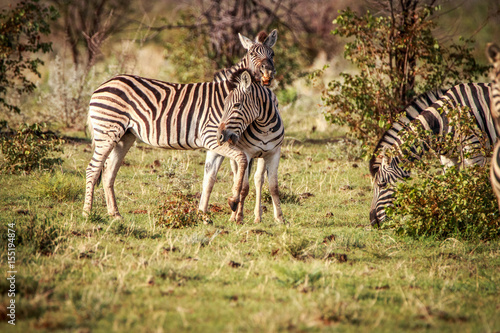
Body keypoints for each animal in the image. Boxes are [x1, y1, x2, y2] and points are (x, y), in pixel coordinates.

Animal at [84, 68, 284, 222]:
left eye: (236, 105)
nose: (221, 135)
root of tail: (102, 85)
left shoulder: (216, 145)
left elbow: (210, 179)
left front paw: (203, 214)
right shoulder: (211, 139)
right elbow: (240, 161)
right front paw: (233, 203)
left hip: (125, 136)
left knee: (108, 172)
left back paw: (115, 214)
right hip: (108, 131)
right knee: (93, 169)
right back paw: (87, 213)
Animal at [368, 82, 496, 226]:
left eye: (382, 184)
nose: (373, 222)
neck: (442, 120)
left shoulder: (474, 152)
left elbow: (473, 184)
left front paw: (476, 214)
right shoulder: (448, 158)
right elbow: (449, 184)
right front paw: (449, 216)